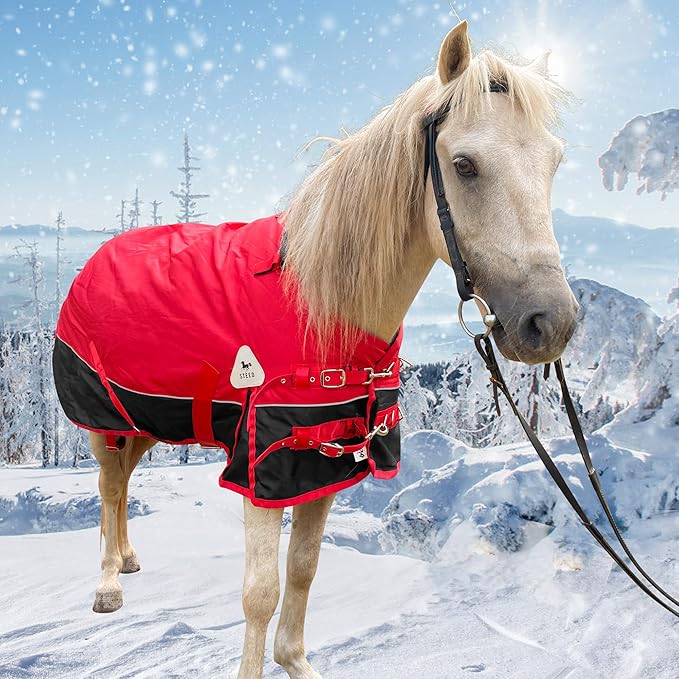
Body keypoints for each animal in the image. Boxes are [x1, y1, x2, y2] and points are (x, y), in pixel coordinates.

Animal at [53, 21, 578, 679]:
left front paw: (296, 661)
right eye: (464, 164)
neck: (322, 308)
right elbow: (260, 592)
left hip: (148, 416)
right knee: (108, 486)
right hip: (105, 421)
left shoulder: (325, 460)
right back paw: (108, 585)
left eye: (554, 162)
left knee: (124, 484)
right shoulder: (261, 464)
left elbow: (303, 570)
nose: (550, 324)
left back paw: (126, 560)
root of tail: (99, 254)